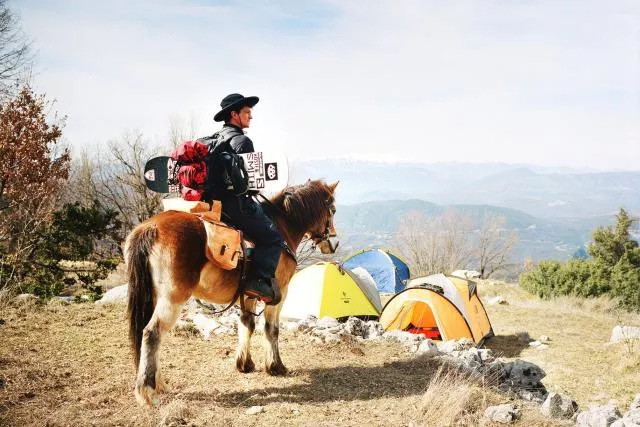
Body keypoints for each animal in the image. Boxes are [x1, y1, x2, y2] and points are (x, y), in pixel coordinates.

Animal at [125, 180, 339, 406]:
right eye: (332, 210)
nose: (334, 243)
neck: (282, 226)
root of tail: (151, 227)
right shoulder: (279, 295)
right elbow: (271, 329)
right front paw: (275, 366)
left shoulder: (249, 295)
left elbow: (247, 325)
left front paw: (245, 364)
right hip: (172, 299)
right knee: (152, 333)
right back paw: (148, 391)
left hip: (154, 296)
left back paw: (158, 384)